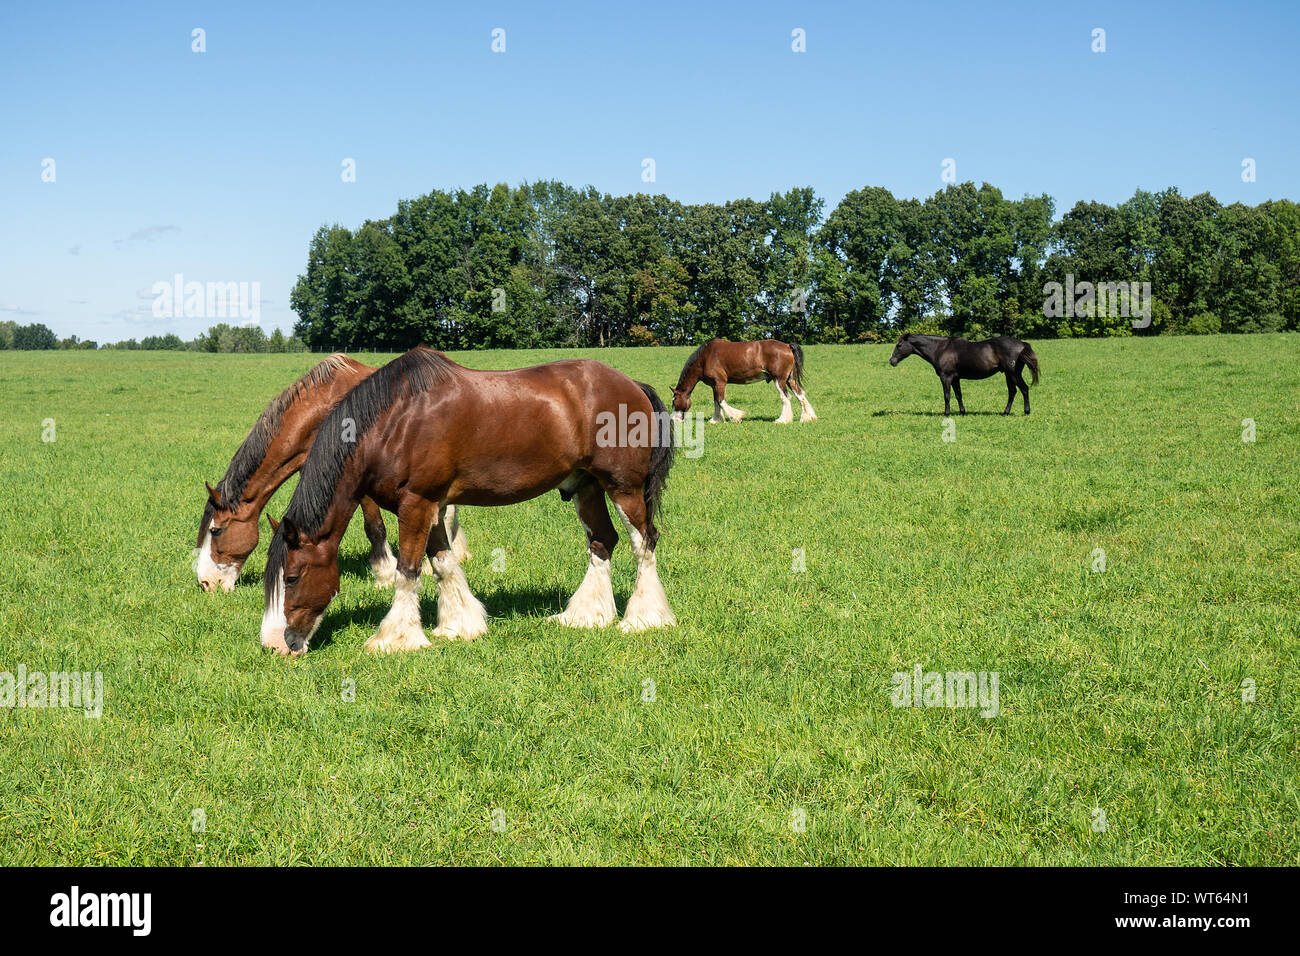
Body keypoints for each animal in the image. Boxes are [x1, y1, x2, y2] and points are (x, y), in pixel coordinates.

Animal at [259, 347, 677, 656]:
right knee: (602, 542)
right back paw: (585, 616)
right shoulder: (428, 505)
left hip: (623, 488)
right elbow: (442, 563)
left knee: (644, 542)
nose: (276, 644)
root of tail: (633, 386)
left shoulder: (416, 503)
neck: (395, 423)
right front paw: (459, 625)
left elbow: (408, 570)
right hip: (587, 486)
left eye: (291, 577)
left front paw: (395, 638)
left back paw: (643, 619)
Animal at [670, 338, 816, 424]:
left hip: (779, 380)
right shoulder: (714, 385)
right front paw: (716, 420)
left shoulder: (720, 382)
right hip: (790, 380)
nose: (673, 419)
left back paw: (782, 420)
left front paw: (736, 417)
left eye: (674, 401)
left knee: (785, 397)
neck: (705, 357)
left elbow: (721, 401)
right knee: (800, 395)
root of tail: (787, 346)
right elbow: (716, 402)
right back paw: (807, 418)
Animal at [888, 333, 1040, 416]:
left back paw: (1026, 411)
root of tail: (1022, 344)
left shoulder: (946, 377)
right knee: (1013, 392)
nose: (891, 361)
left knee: (1024, 389)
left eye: (899, 345)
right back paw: (1005, 412)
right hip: (1008, 375)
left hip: (1013, 374)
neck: (941, 349)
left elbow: (947, 396)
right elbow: (958, 395)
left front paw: (947, 413)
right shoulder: (955, 378)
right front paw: (962, 412)